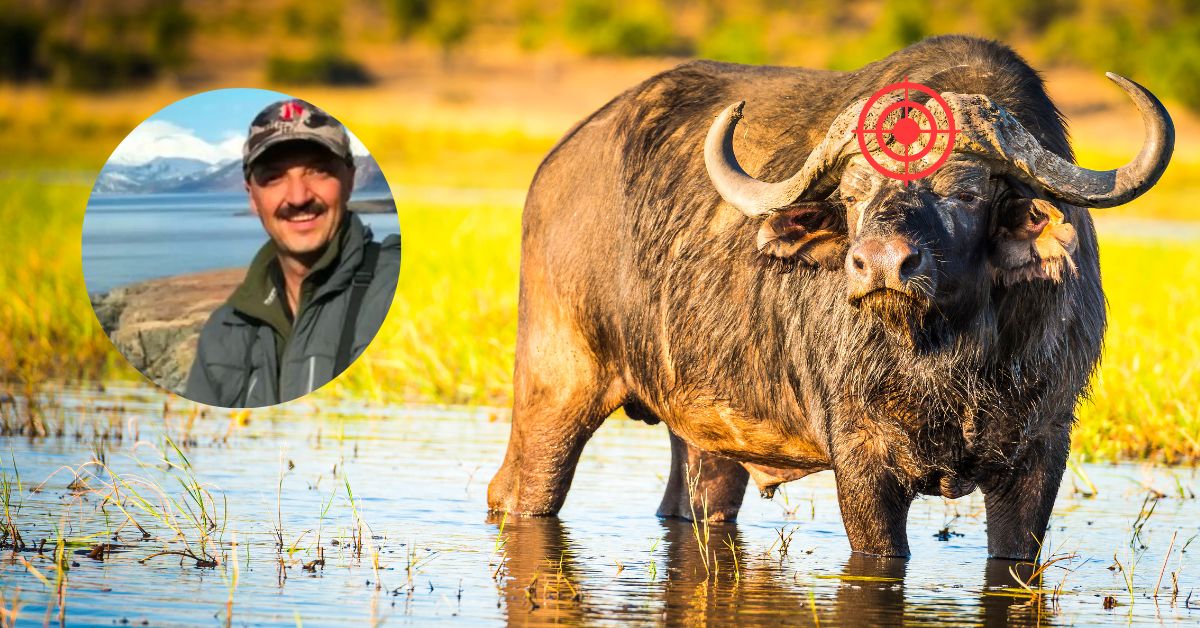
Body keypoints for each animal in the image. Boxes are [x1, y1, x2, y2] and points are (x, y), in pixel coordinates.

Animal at [484, 33, 1171, 559]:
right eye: (853, 193)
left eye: (967, 192)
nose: (881, 263)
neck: (948, 356)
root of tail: (558, 164)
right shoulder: (863, 464)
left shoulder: (1040, 454)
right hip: (555, 387)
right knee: (515, 491)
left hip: (703, 434)